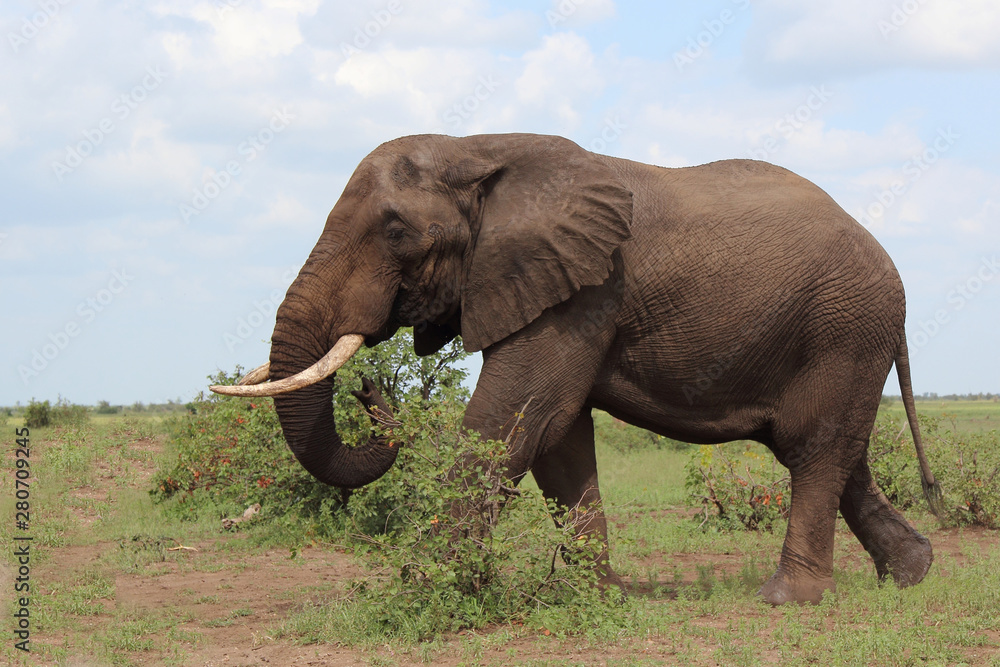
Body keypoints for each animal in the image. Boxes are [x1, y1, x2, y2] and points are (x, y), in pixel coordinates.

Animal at [212, 133, 943, 605]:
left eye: (395, 232)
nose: (369, 389)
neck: (477, 149)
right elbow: (558, 441)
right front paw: (600, 596)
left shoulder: (581, 292)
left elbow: (517, 418)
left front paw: (425, 589)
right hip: (843, 336)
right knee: (836, 454)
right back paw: (910, 575)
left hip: (845, 327)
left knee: (816, 450)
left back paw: (787, 599)